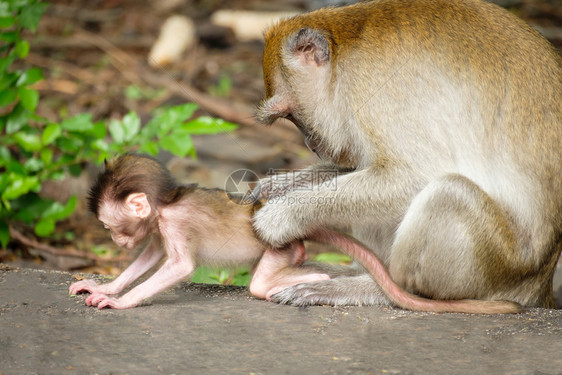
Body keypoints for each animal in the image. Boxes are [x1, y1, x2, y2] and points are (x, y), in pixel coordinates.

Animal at [253, 0, 560, 310]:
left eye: (292, 114)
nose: (310, 144)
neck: (345, 49)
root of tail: (538, 285)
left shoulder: (375, 86)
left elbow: (413, 176)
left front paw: (282, 215)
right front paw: (278, 186)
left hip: (498, 268)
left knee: (448, 193)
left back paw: (382, 289)